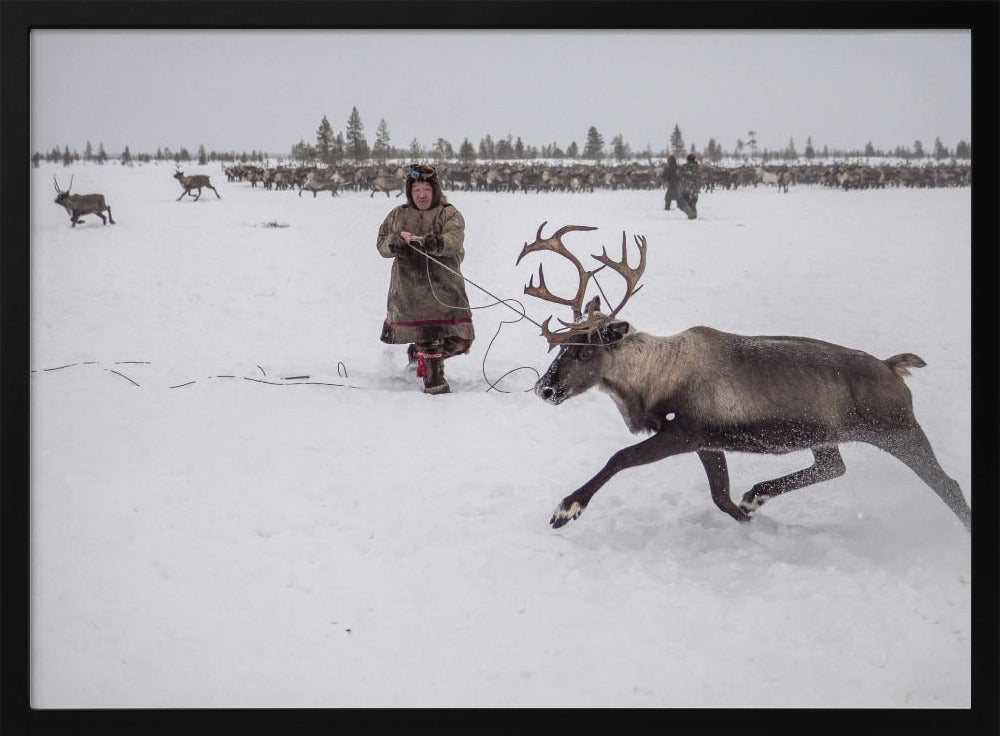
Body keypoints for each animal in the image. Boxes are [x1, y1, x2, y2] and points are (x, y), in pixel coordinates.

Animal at [516, 223, 971, 533]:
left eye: (585, 349)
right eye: (561, 346)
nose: (545, 388)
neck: (653, 379)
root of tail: (894, 366)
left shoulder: (684, 432)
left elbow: (620, 457)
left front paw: (567, 508)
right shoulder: (707, 441)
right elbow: (720, 495)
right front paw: (747, 515)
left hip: (897, 429)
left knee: (948, 485)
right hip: (826, 434)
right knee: (834, 466)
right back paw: (758, 494)